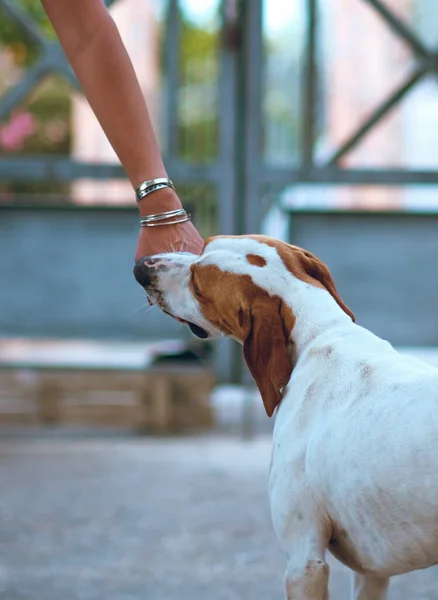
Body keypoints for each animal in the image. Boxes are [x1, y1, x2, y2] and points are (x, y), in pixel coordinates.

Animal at [134, 234, 438, 600]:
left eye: (198, 285)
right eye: (205, 244)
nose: (142, 267)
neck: (319, 334)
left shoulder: (304, 561)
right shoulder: (372, 571)